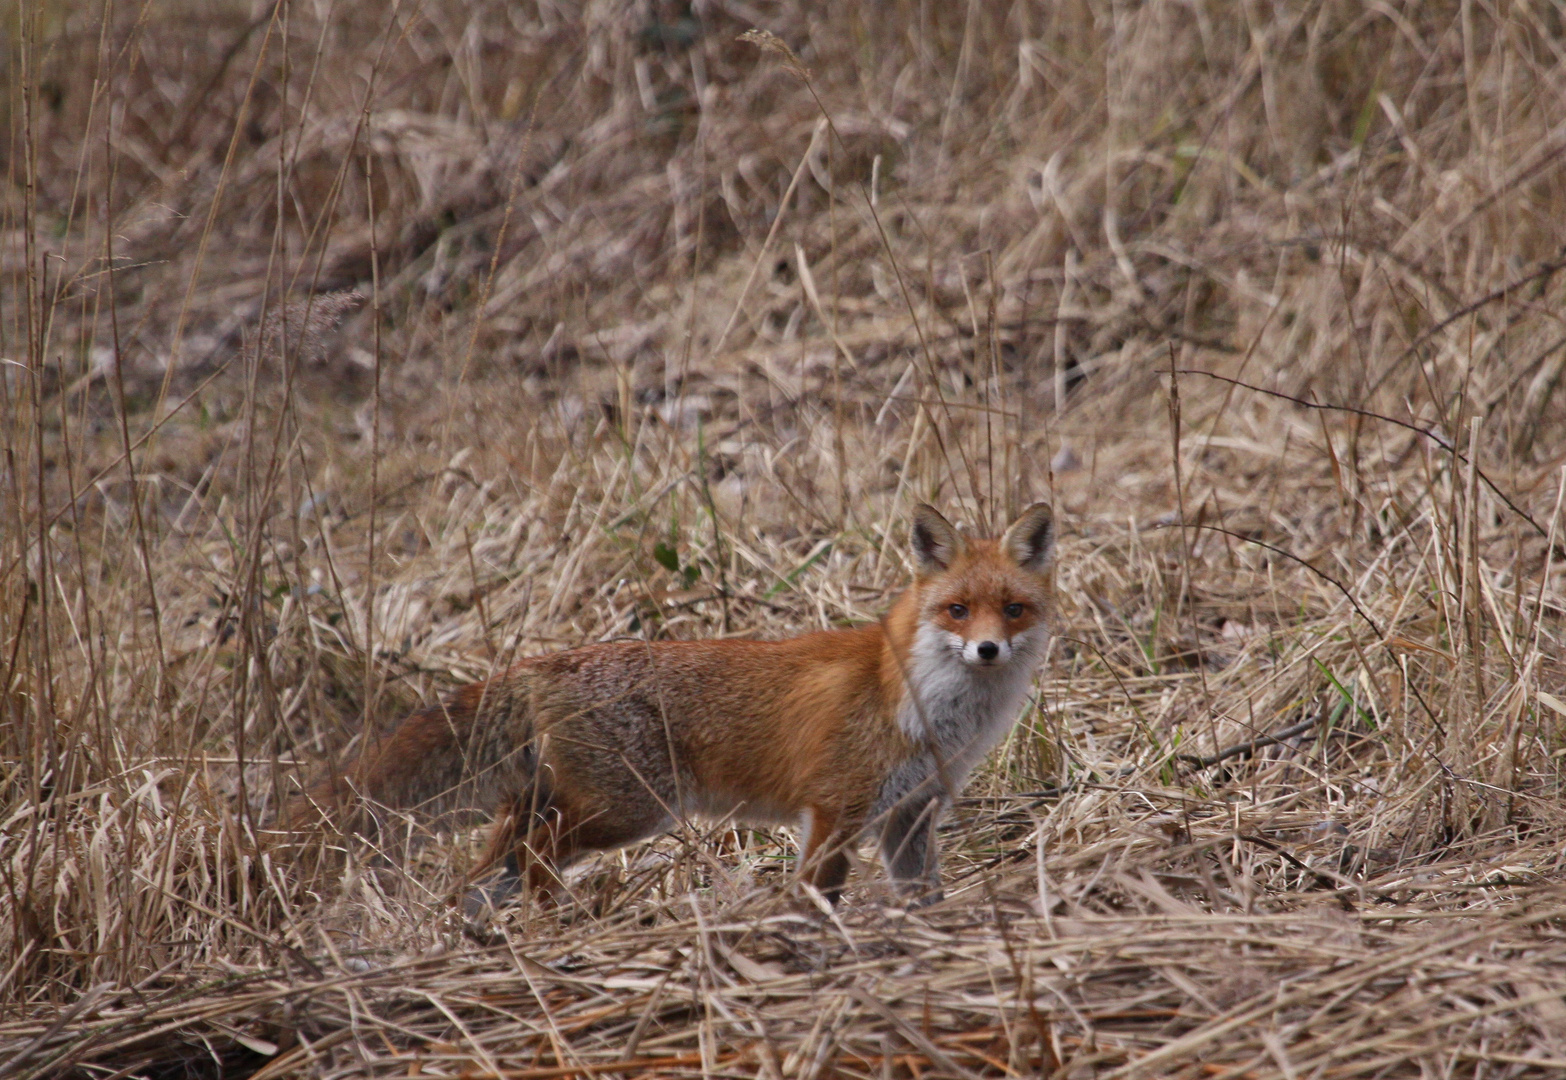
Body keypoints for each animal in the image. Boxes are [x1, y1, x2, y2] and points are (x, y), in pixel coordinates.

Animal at [288, 500, 1058, 901]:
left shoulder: (908, 816)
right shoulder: (835, 808)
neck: (929, 708)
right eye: (958, 610)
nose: (988, 651)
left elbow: (921, 893)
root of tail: (539, 663)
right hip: (629, 811)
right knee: (535, 862)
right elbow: (816, 892)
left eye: (1012, 610)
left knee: (480, 879)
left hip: (554, 810)